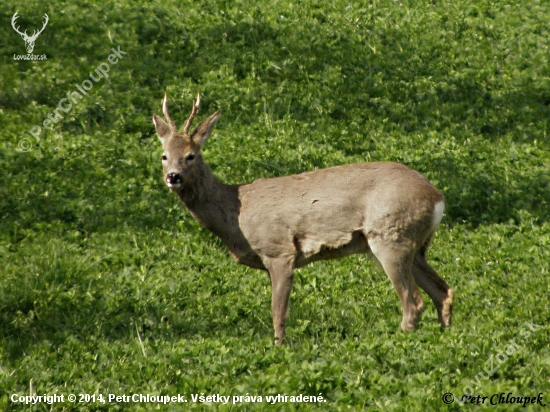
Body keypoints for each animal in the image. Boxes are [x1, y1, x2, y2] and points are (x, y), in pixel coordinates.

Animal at [153, 94, 454, 344]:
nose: (173, 177)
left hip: (391, 236)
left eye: (191, 155)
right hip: (415, 245)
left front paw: (279, 348)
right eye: (164, 155)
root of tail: (437, 197)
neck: (236, 214)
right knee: (443, 292)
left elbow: (278, 312)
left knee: (413, 303)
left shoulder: (279, 251)